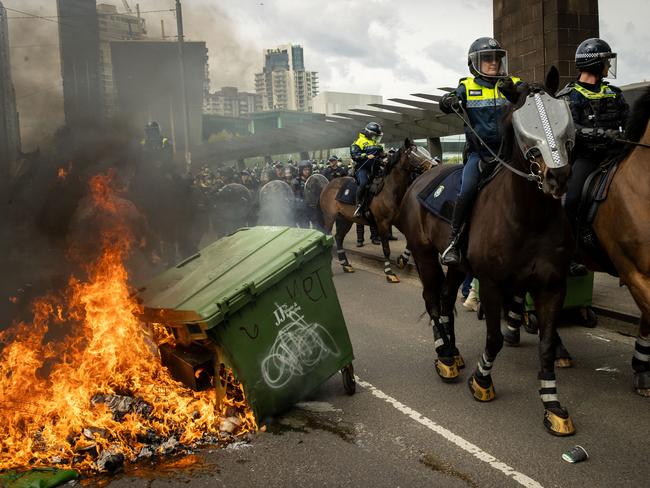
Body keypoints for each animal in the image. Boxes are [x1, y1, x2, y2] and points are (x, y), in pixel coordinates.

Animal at [318, 138, 432, 282]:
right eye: (414, 153)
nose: (434, 164)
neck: (390, 190)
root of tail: (328, 184)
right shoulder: (382, 223)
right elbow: (386, 248)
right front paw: (389, 272)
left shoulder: (398, 221)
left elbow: (410, 241)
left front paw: (402, 260)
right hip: (329, 217)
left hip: (345, 219)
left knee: (338, 238)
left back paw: (346, 265)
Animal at [398, 70, 580, 436]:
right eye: (523, 123)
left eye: (561, 114)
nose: (557, 176)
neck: (529, 217)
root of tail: (423, 177)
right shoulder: (493, 284)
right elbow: (494, 338)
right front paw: (481, 382)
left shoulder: (552, 285)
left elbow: (546, 345)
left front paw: (552, 406)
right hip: (424, 255)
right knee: (431, 298)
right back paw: (444, 357)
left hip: (456, 266)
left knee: (445, 298)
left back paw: (453, 350)